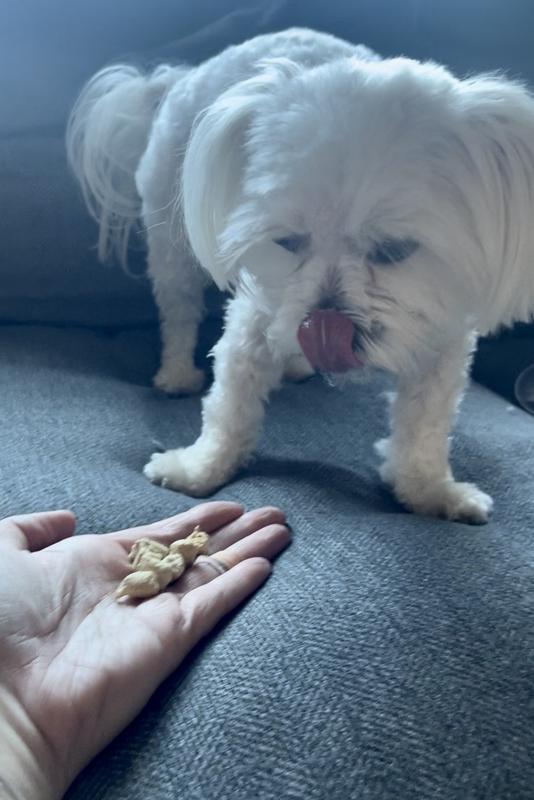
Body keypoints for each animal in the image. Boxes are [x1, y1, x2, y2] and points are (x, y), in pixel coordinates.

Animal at [67, 28, 534, 523]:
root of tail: (180, 75)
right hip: (171, 237)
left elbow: (426, 422)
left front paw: (429, 491)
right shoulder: (260, 311)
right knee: (178, 312)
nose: (322, 327)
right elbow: (230, 402)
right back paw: (176, 374)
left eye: (395, 250)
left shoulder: (445, 332)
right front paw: (199, 467)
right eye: (287, 241)